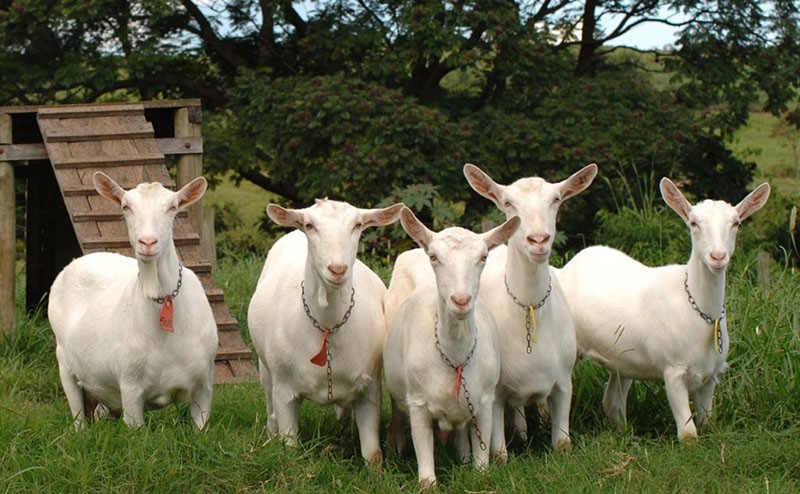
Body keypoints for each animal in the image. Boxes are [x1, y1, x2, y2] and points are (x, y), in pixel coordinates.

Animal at [50, 172, 219, 430]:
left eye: (172, 207)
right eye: (125, 206)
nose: (147, 242)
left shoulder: (204, 385)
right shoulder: (130, 387)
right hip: (64, 363)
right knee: (78, 415)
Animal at [247, 197, 404, 464]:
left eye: (358, 224)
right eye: (310, 225)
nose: (338, 269)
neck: (327, 327)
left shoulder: (369, 388)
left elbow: (372, 454)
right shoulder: (284, 392)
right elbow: (289, 448)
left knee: (343, 413)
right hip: (266, 369)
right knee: (270, 408)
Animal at [382, 206, 520, 486]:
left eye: (483, 257)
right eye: (434, 257)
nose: (461, 300)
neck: (455, 357)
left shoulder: (485, 401)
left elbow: (481, 452)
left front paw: (478, 473)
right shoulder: (418, 402)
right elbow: (423, 452)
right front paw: (427, 483)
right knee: (397, 415)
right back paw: (395, 450)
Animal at [460, 163, 596, 456]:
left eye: (556, 199)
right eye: (508, 203)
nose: (538, 240)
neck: (529, 308)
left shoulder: (564, 382)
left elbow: (562, 444)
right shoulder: (496, 393)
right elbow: (499, 454)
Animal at [556, 178, 768, 440]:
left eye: (736, 223)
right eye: (694, 223)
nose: (717, 257)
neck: (697, 308)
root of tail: (566, 268)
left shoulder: (711, 376)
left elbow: (706, 422)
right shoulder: (673, 370)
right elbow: (688, 433)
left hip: (623, 356)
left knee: (612, 400)